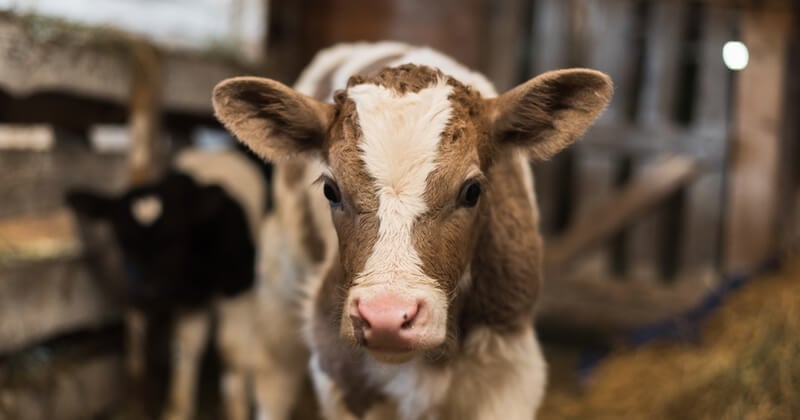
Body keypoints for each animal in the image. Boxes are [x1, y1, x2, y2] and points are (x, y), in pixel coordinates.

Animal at [212, 42, 612, 420]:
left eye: (472, 191)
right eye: (330, 190)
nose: (386, 318)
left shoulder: (509, 374)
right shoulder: (340, 371)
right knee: (273, 374)